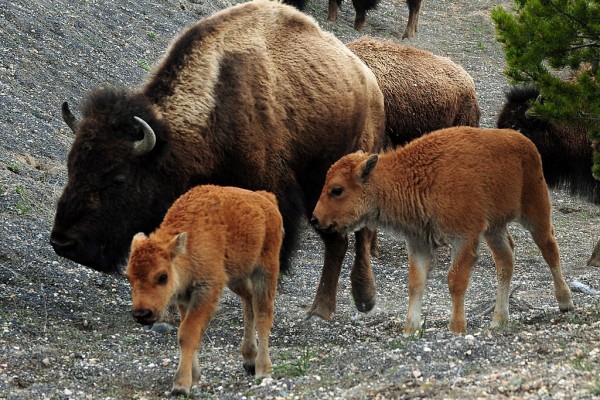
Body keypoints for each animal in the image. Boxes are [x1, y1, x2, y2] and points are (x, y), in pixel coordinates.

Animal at [50, 0, 384, 318]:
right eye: (72, 166)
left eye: (118, 178)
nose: (62, 243)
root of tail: (370, 83)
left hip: (337, 183)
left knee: (351, 238)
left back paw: (336, 306)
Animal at [125, 185, 284, 396]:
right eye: (128, 277)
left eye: (162, 276)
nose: (142, 314)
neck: (188, 246)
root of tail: (265, 198)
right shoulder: (185, 297)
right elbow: (186, 333)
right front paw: (194, 378)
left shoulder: (207, 291)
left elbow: (188, 333)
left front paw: (180, 386)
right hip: (237, 277)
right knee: (248, 300)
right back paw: (249, 359)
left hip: (265, 269)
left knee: (263, 314)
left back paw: (263, 370)